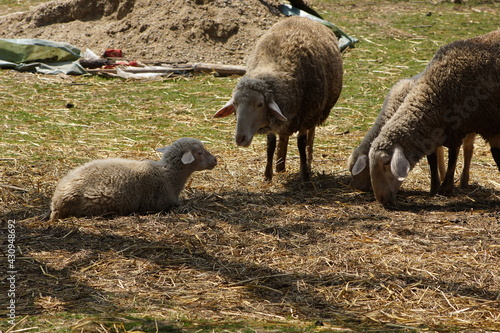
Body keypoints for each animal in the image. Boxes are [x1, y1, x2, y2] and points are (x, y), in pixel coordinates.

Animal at [213, 16, 342, 180]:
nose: (240, 139)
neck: (273, 66)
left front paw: (304, 174)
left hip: (316, 113)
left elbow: (301, 143)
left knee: (310, 139)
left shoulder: (305, 116)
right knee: (283, 136)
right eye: (235, 103)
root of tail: (302, 17)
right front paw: (267, 174)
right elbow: (271, 145)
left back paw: (308, 163)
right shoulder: (272, 120)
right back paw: (280, 165)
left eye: (260, 104)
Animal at [368, 29, 500, 205]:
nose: (381, 200)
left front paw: (446, 188)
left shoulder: (472, 128)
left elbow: (453, 157)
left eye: (385, 163)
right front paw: (434, 188)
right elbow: (432, 160)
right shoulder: (438, 132)